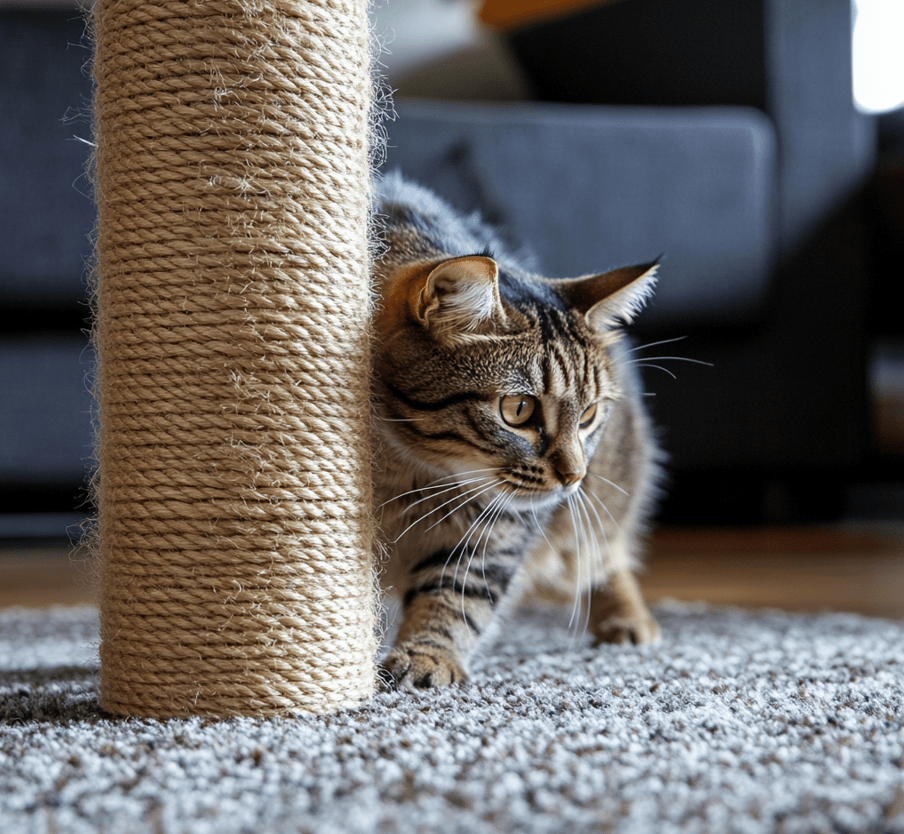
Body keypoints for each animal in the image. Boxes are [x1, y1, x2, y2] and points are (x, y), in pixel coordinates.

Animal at [370, 171, 660, 688]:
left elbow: (457, 593)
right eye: (519, 410)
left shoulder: (495, 525)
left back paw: (627, 618)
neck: (402, 469)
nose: (574, 476)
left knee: (603, 557)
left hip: (598, 507)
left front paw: (428, 655)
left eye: (588, 415)